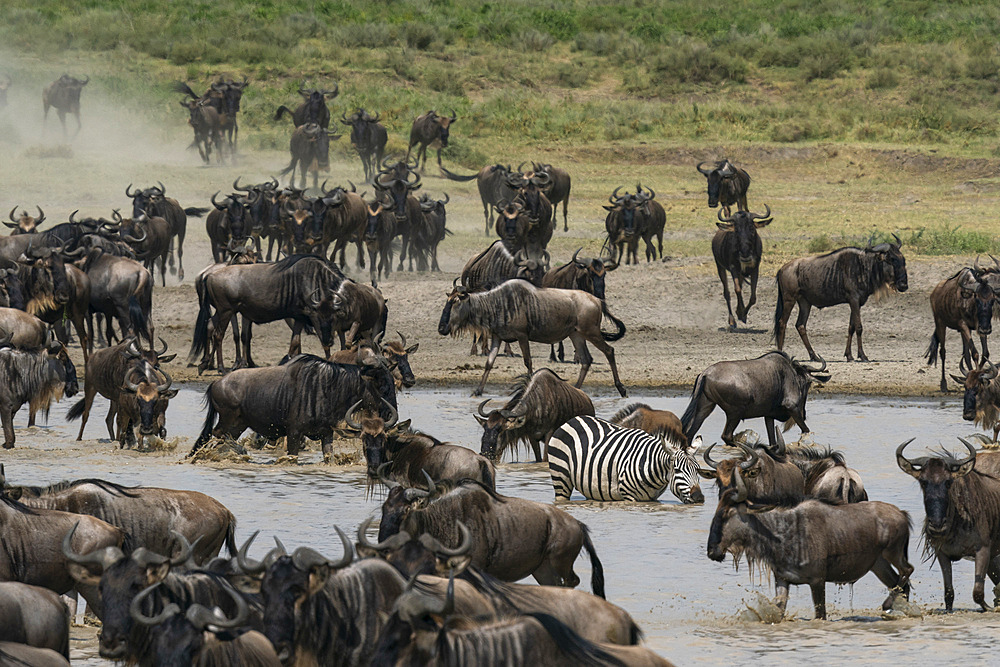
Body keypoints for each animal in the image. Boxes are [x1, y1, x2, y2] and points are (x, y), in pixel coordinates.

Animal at [548, 414, 704, 504]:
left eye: (698, 471)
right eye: (677, 470)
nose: (699, 498)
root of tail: (573, 419)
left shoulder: (653, 499)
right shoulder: (628, 496)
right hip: (560, 477)